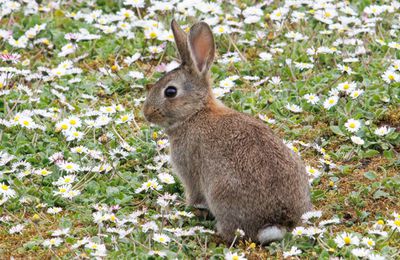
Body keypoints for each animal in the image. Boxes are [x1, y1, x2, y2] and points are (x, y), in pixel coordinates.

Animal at [142, 19, 314, 244]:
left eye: (170, 91)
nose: (146, 113)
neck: (195, 113)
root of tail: (277, 222)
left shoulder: (189, 171)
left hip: (221, 192)